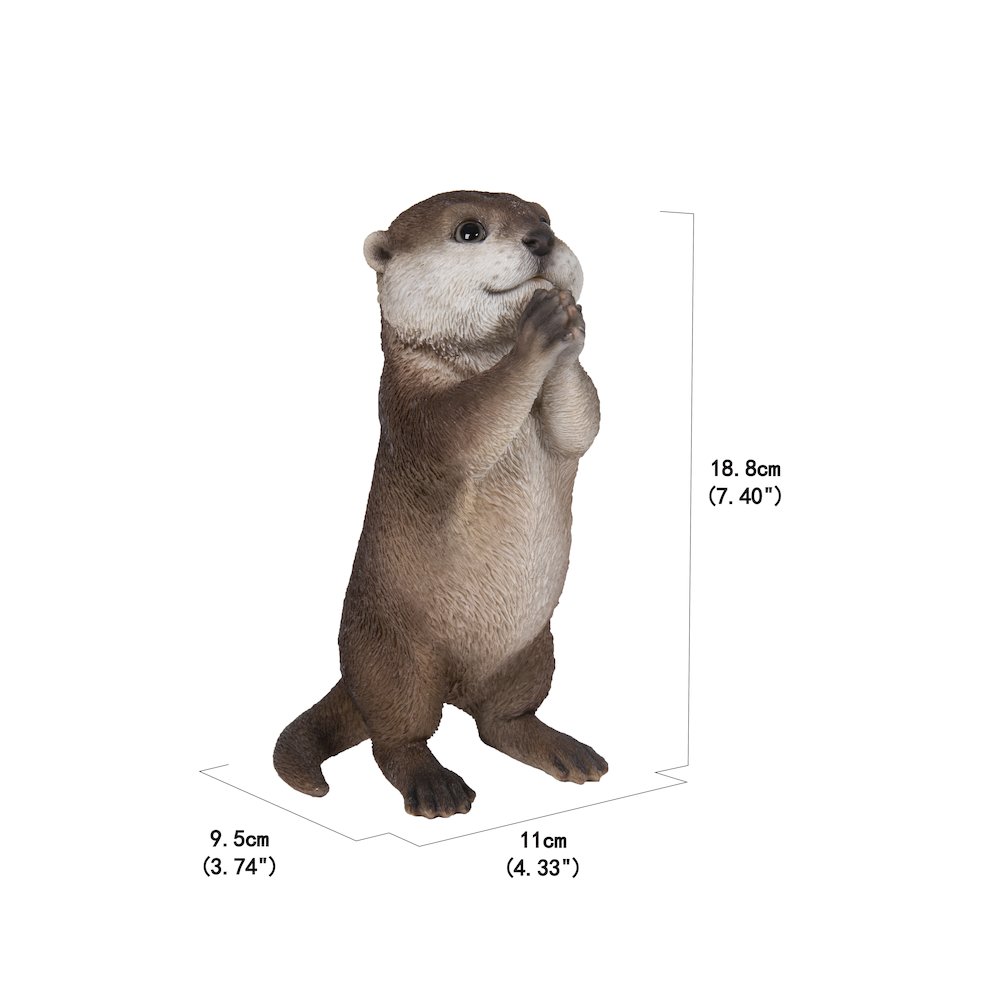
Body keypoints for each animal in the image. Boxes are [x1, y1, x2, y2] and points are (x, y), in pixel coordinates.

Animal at [273, 191, 606, 818]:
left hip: (533, 652)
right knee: (396, 735)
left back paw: (564, 751)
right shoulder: (415, 411)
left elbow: (581, 424)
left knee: (500, 720)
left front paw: (570, 317)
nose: (542, 239)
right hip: (395, 657)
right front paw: (540, 329)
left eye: (544, 216)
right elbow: (470, 422)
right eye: (470, 231)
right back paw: (434, 787)